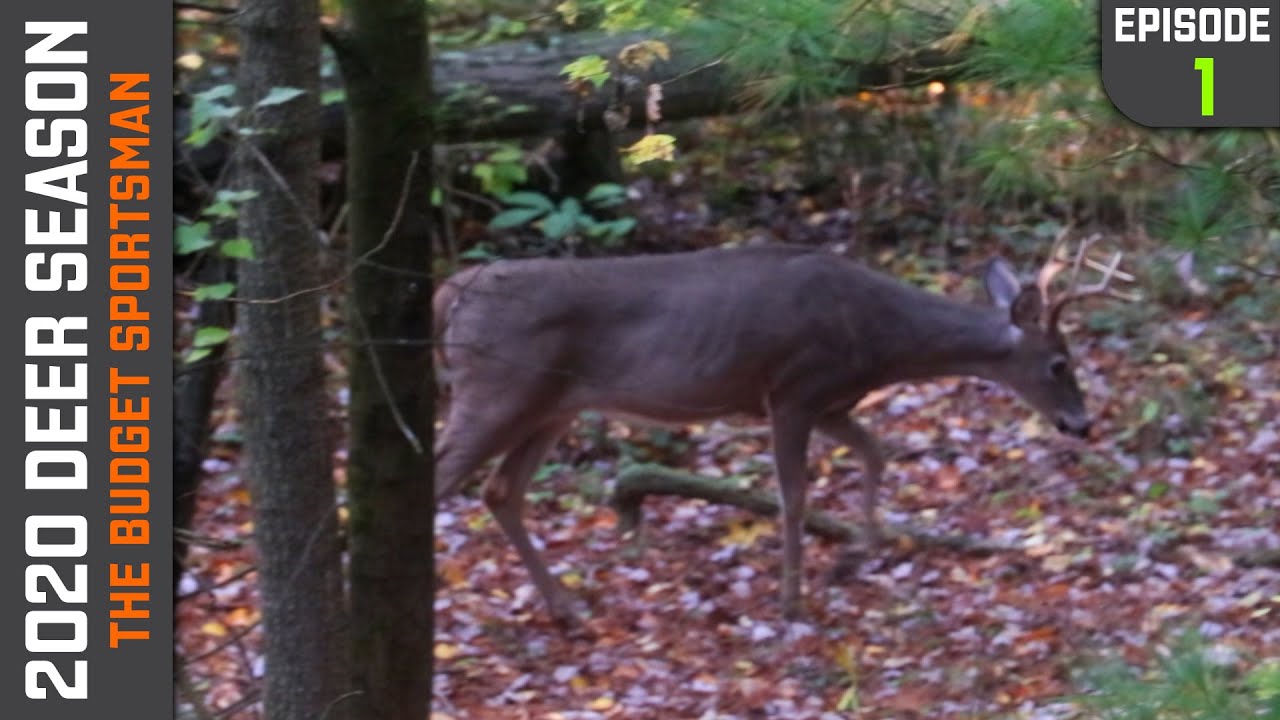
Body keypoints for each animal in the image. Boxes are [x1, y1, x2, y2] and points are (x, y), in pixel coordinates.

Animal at [432, 237, 1131, 622]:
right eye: (1059, 363)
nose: (1082, 423)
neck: (883, 339)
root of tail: (450, 291)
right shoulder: (793, 390)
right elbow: (794, 496)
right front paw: (792, 599)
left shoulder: (831, 401)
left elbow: (877, 453)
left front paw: (857, 553)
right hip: (497, 389)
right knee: (439, 478)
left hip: (554, 406)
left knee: (500, 490)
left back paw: (566, 608)